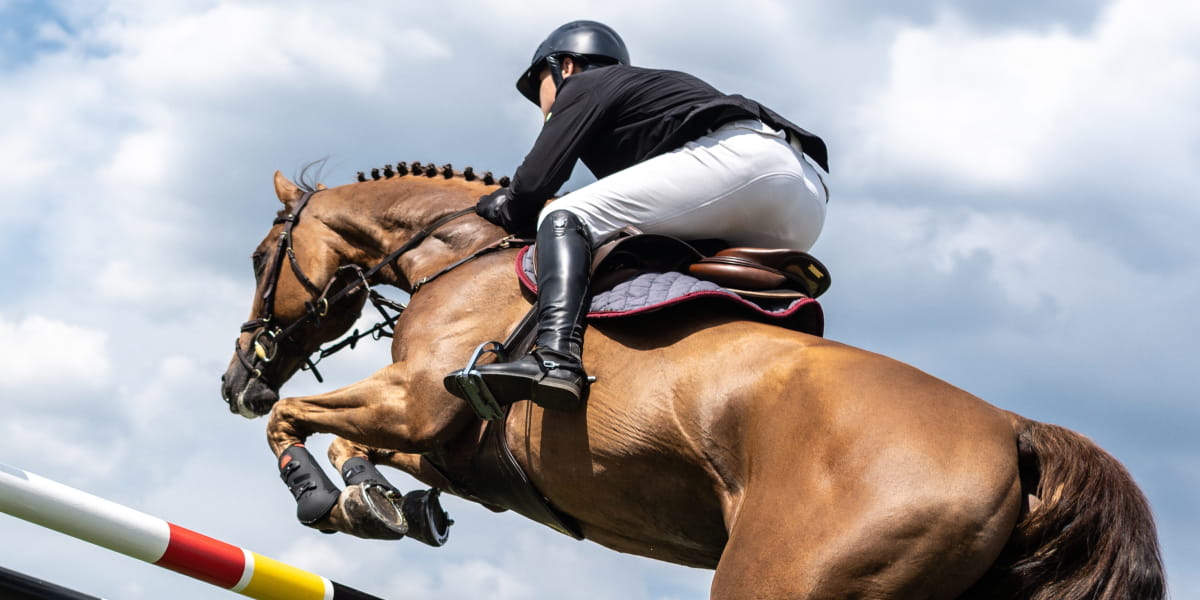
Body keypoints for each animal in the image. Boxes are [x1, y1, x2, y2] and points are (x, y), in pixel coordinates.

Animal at [220, 164, 1165, 600]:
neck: (460, 256)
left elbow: (297, 419)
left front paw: (322, 497)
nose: (236, 380)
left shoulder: (416, 401)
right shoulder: (456, 448)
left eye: (263, 258)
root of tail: (1014, 429)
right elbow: (355, 440)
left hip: (786, 576)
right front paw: (375, 499)